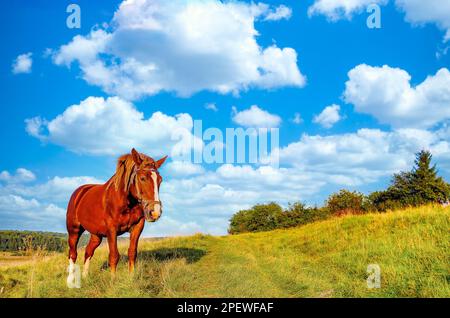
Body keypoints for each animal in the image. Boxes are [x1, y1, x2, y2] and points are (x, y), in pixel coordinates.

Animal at [65, 148, 167, 286]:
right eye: (142, 178)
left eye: (160, 180)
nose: (155, 212)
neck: (125, 201)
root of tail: (79, 192)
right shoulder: (111, 230)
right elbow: (114, 255)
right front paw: (113, 280)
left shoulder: (137, 227)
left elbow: (132, 252)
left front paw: (131, 278)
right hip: (74, 230)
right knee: (73, 253)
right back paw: (71, 280)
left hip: (96, 235)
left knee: (88, 251)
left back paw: (85, 276)